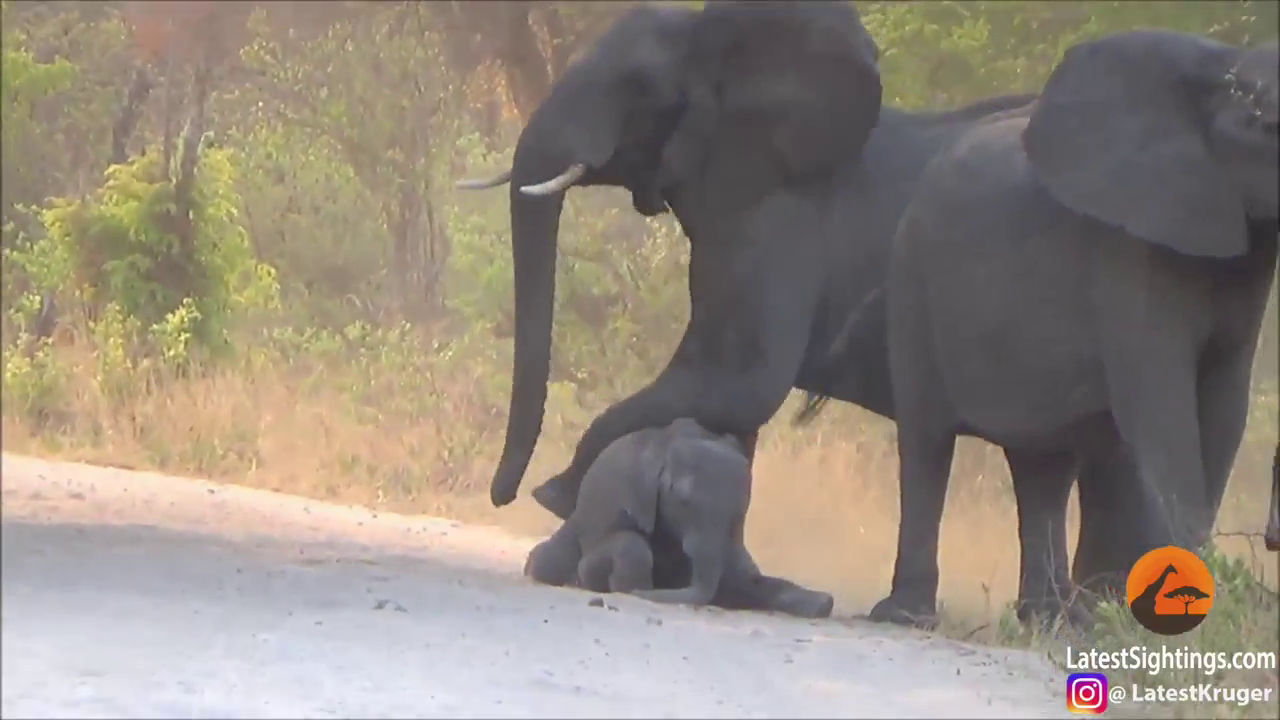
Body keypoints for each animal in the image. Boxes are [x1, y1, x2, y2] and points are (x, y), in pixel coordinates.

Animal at [524, 415, 834, 617]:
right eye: (682, 500)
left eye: (740, 514)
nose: (829, 601)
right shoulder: (619, 499)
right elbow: (620, 547)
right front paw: (628, 589)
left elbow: (740, 581)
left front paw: (820, 603)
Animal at [849, 29, 1280, 622]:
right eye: (1266, 121)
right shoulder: (1127, 251)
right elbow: (1162, 406)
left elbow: (1223, 407)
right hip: (914, 276)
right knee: (927, 440)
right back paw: (908, 615)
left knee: (1042, 467)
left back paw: (1052, 620)